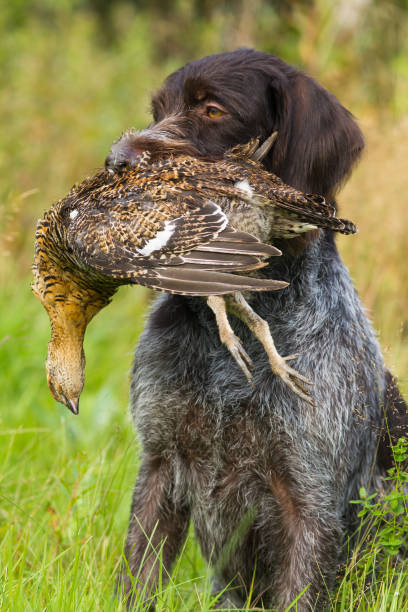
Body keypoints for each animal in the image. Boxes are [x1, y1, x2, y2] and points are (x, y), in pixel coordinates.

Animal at [109, 50, 408, 608]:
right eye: (158, 109)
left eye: (213, 110)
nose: (116, 160)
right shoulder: (159, 465)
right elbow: (137, 577)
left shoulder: (308, 503)